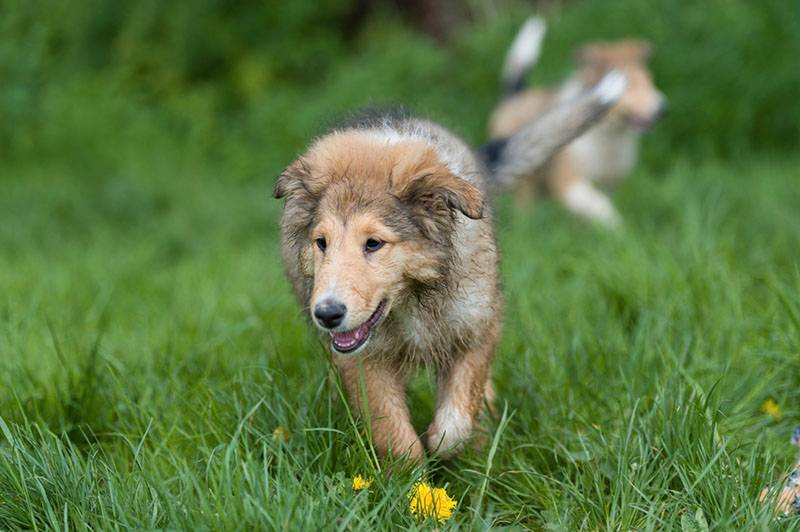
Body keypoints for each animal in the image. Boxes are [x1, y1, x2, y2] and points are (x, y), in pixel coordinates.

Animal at [276, 76, 624, 462]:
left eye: (374, 243)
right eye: (321, 242)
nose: (327, 314)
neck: (412, 301)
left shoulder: (476, 326)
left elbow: (455, 420)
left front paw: (450, 448)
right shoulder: (364, 359)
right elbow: (394, 436)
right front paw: (413, 475)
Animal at [490, 17, 664, 227]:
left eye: (650, 81)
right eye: (630, 86)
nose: (662, 109)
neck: (609, 135)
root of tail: (515, 96)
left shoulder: (610, 182)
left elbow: (599, 202)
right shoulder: (569, 181)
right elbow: (598, 203)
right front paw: (614, 224)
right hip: (523, 175)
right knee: (523, 204)